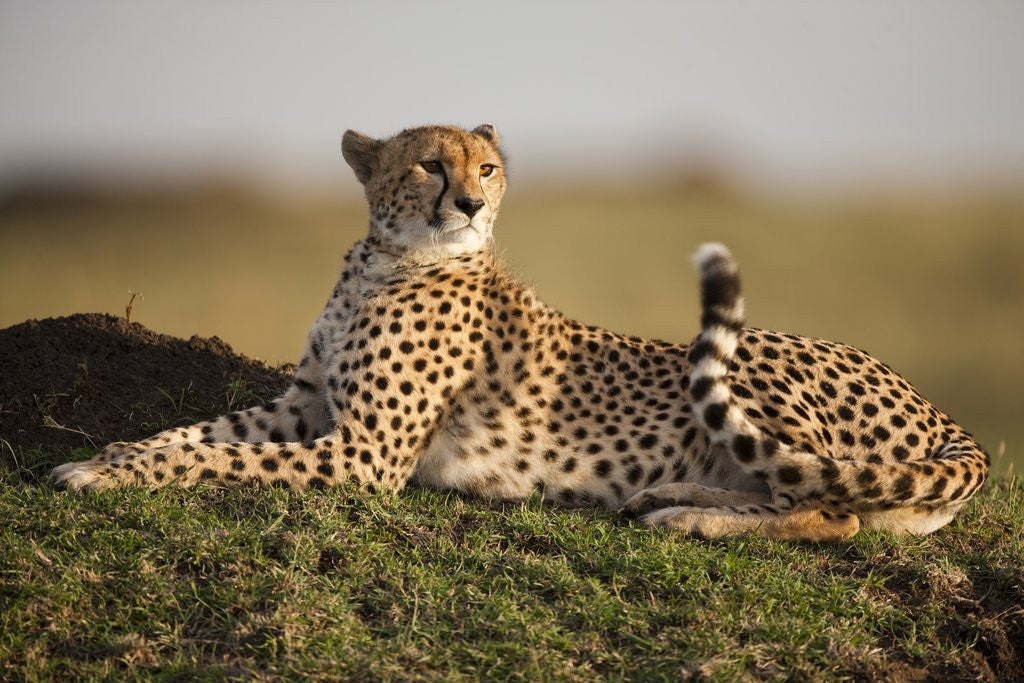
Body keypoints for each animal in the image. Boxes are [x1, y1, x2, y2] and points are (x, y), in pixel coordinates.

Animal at [50, 123, 989, 541]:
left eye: (489, 167)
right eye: (430, 164)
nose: (469, 202)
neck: (386, 259)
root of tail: (945, 417)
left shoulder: (363, 455)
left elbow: (217, 461)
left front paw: (107, 474)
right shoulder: (307, 408)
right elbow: (192, 435)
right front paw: (109, 455)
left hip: (749, 361)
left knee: (833, 510)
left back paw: (690, 518)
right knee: (809, 496)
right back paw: (667, 496)